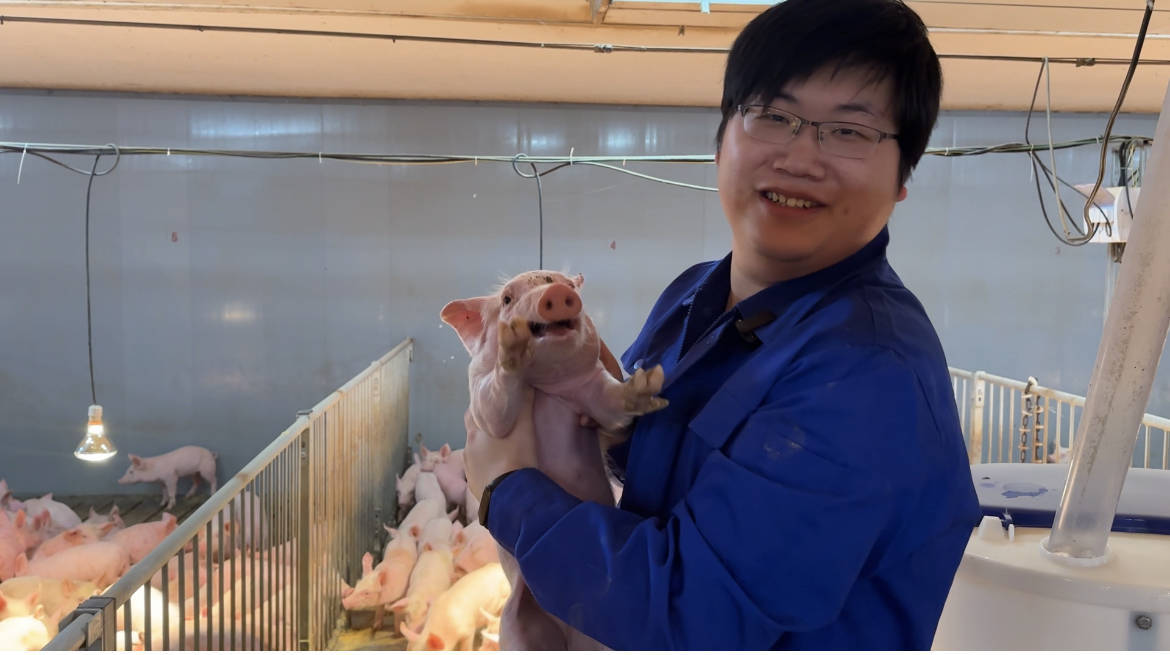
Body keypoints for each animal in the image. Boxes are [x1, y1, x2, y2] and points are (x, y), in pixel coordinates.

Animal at [441, 270, 667, 650]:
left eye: (564, 283)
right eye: (507, 298)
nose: (558, 293)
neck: (545, 388)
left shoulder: (592, 391)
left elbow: (612, 406)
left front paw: (651, 381)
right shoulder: (483, 404)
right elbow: (495, 408)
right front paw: (513, 344)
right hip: (516, 623)